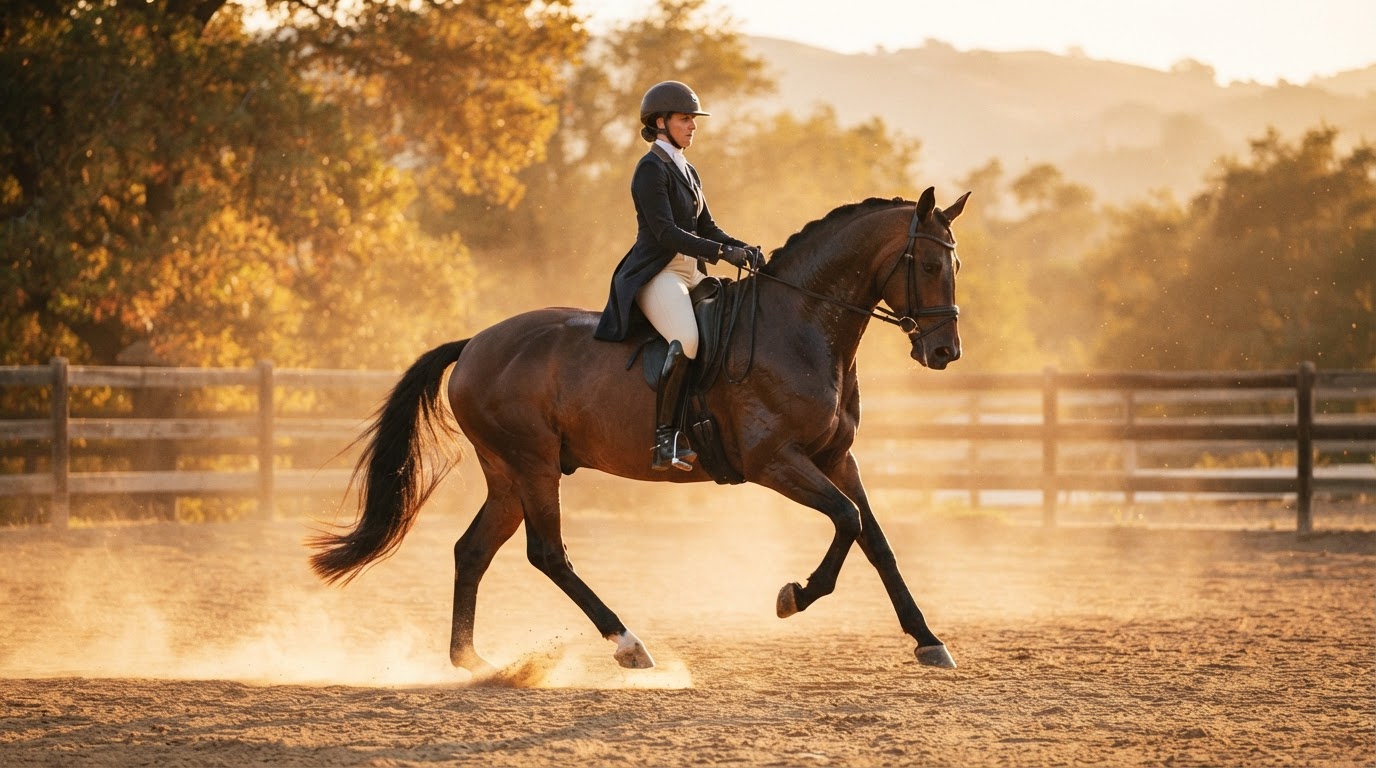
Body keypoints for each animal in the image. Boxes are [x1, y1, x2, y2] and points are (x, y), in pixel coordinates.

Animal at [309, 186, 971, 673]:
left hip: (507, 473)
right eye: (929, 263)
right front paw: (794, 596)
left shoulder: (836, 459)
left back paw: (472, 661)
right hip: (532, 464)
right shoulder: (775, 462)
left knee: (472, 550)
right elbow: (847, 520)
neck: (800, 324)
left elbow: (875, 539)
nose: (945, 352)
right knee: (548, 554)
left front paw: (928, 640)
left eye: (956, 263)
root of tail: (475, 344)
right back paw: (628, 645)